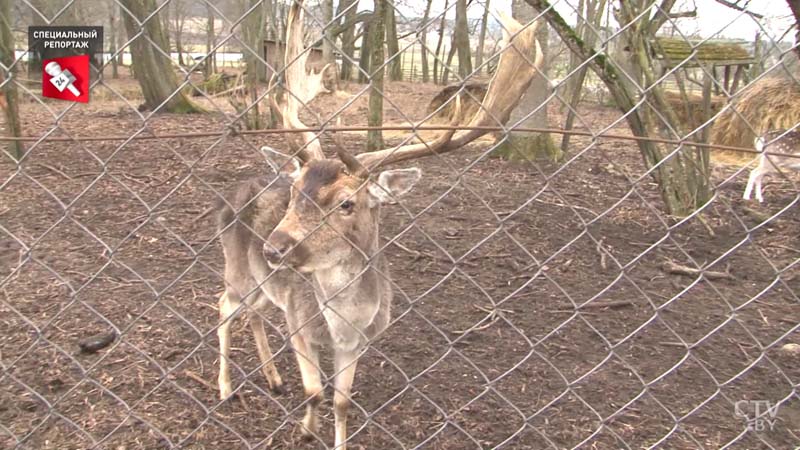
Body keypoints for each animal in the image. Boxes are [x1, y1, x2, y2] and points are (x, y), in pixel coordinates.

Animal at [214, 2, 544, 446]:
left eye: (347, 203)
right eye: (296, 189)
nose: (274, 245)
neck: (343, 325)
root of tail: (229, 196)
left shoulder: (360, 342)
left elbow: (341, 402)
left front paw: (328, 434)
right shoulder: (300, 323)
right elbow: (315, 392)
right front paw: (305, 432)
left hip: (265, 284)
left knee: (252, 314)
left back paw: (273, 379)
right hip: (239, 270)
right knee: (223, 308)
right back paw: (226, 389)